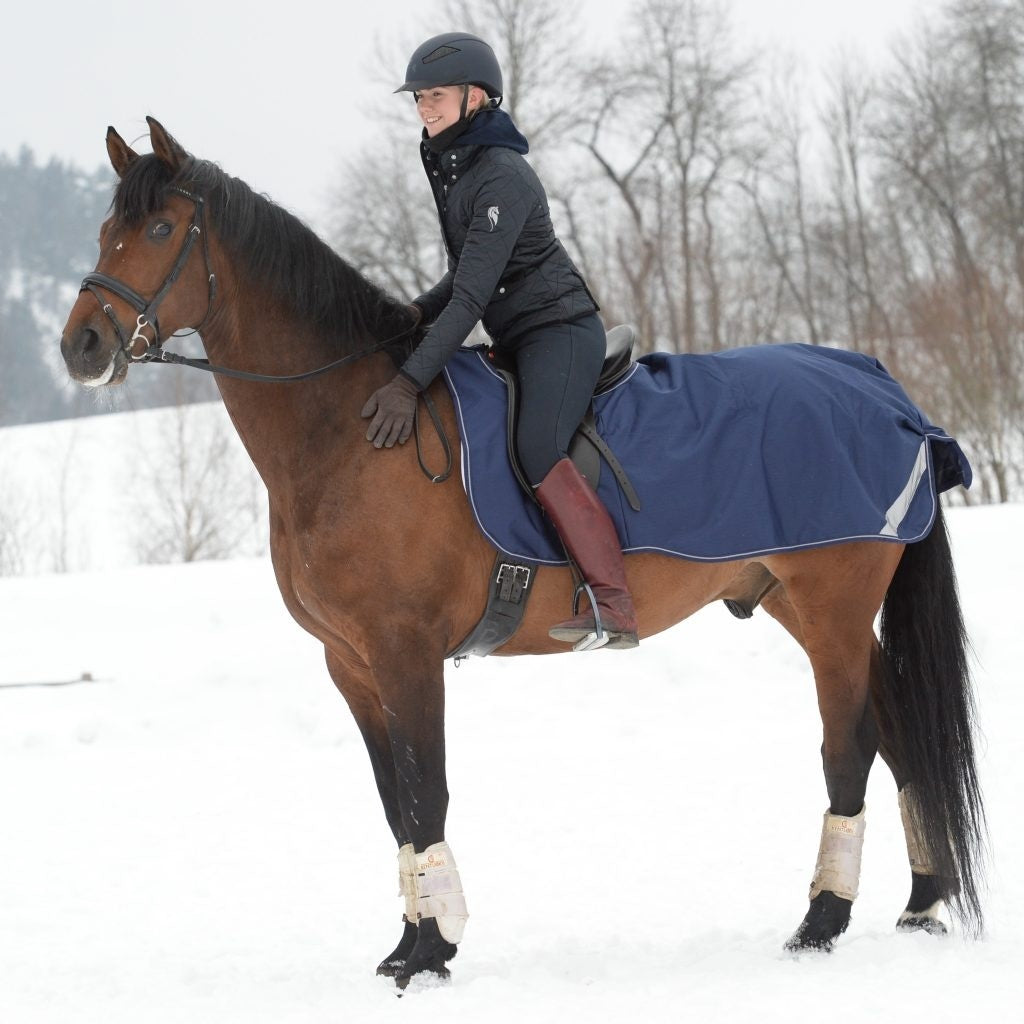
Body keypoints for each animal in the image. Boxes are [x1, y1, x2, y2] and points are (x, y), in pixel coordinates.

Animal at [59, 118, 985, 989]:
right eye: (105, 227)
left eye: (160, 228)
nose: (82, 346)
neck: (346, 430)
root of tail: (882, 388)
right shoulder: (351, 664)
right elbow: (396, 806)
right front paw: (408, 942)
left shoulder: (405, 654)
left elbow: (425, 794)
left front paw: (434, 949)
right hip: (803, 606)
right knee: (900, 733)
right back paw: (922, 899)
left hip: (831, 609)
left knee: (850, 747)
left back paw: (821, 922)